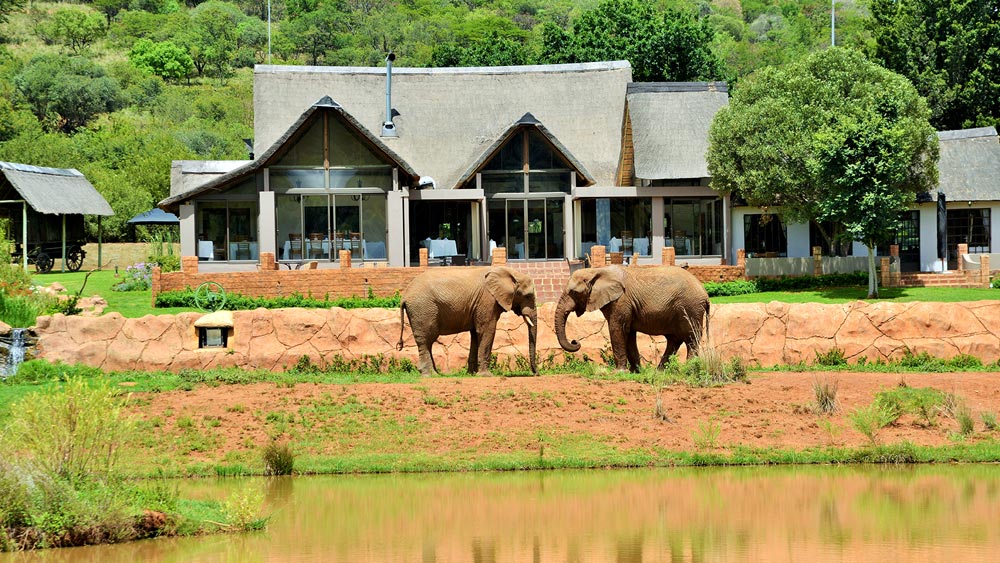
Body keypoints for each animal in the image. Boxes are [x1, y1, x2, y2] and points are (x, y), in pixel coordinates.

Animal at [398, 266, 540, 376]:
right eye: (528, 296)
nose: (536, 373)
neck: (510, 272)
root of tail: (404, 296)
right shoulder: (487, 301)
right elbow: (486, 331)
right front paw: (486, 375)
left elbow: (476, 335)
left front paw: (472, 374)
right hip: (422, 309)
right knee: (426, 340)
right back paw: (430, 375)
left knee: (428, 341)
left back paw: (436, 373)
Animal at [556, 266, 712, 372]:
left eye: (573, 293)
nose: (575, 341)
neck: (596, 270)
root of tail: (705, 294)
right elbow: (629, 334)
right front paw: (635, 372)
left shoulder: (621, 301)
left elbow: (617, 330)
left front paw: (618, 372)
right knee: (675, 340)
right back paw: (659, 372)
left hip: (690, 308)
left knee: (690, 339)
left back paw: (688, 369)